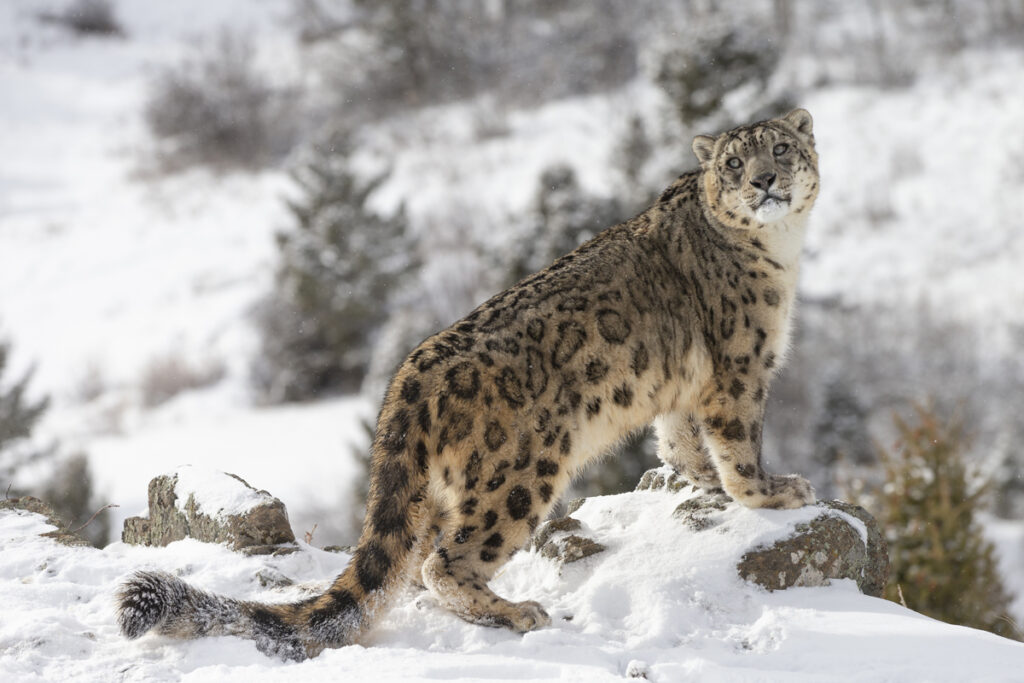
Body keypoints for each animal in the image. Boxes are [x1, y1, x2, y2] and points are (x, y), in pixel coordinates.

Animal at [117, 108, 820, 661]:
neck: (782, 253)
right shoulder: (739, 369)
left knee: (413, 562)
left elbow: (680, 441)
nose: (764, 181)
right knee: (444, 562)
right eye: (734, 162)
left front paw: (701, 482)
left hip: (439, 492)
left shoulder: (683, 388)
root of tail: (409, 375)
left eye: (781, 148)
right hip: (519, 475)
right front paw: (773, 492)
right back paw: (516, 611)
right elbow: (738, 443)